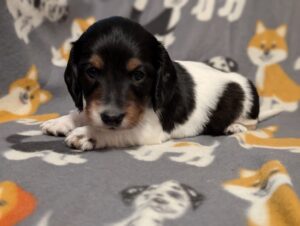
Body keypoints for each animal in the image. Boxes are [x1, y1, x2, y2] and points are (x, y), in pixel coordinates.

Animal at [41, 16, 262, 151]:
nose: (111, 117)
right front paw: (61, 122)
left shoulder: (148, 130)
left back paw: (234, 126)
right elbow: (84, 113)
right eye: (92, 72)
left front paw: (87, 134)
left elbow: (119, 131)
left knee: (252, 123)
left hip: (246, 102)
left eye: (139, 75)